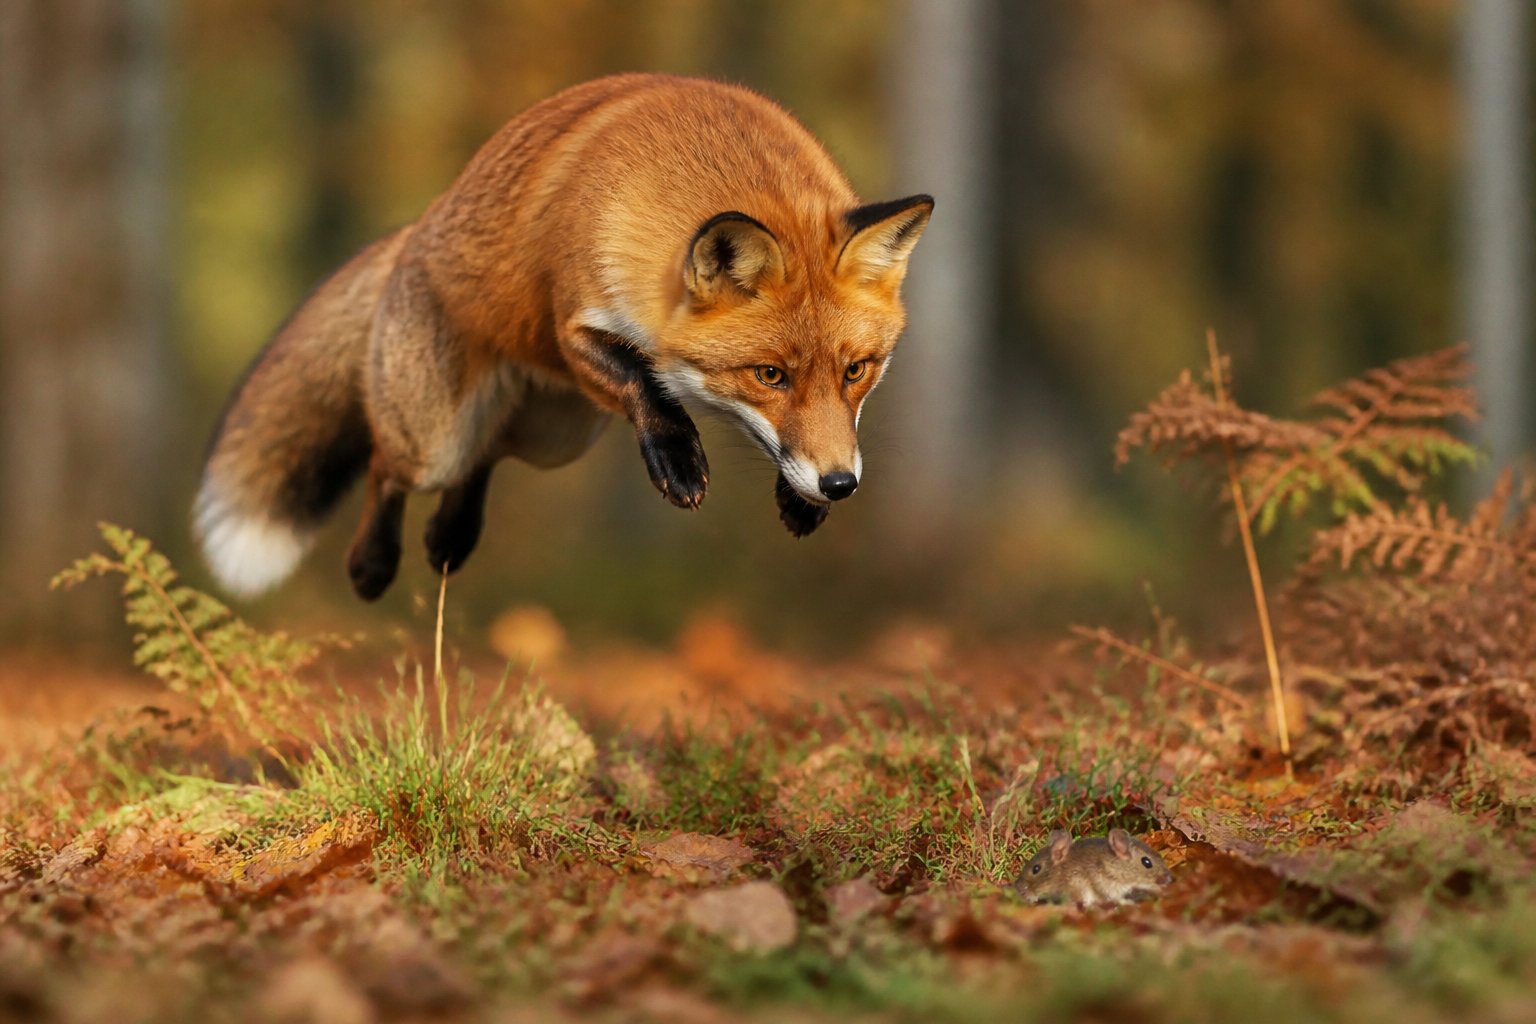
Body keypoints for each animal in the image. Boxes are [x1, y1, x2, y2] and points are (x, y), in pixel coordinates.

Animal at [196, 73, 933, 600]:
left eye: (856, 371)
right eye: (769, 375)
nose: (839, 484)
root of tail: (417, 228)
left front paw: (798, 497)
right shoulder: (574, 330)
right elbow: (645, 381)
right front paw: (678, 458)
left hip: (558, 436)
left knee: (488, 454)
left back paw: (450, 536)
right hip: (434, 435)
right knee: (388, 464)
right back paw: (373, 563)